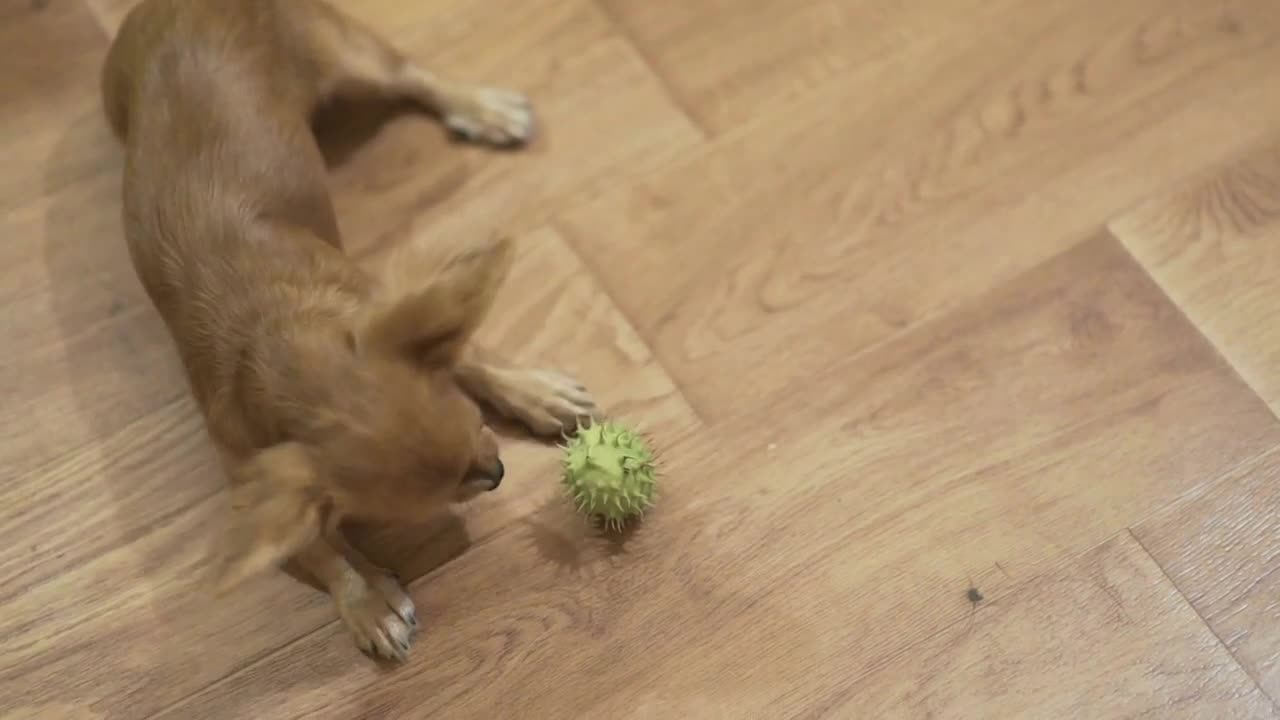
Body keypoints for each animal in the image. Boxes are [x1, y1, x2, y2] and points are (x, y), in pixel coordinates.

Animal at [102, 0, 596, 661]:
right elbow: (318, 549)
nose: (496, 473)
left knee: (414, 77)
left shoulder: (385, 311)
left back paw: (484, 109)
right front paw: (368, 599)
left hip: (345, 52)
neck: (275, 338)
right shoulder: (259, 480)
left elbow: (470, 353)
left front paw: (536, 391)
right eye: (444, 495)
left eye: (479, 425)